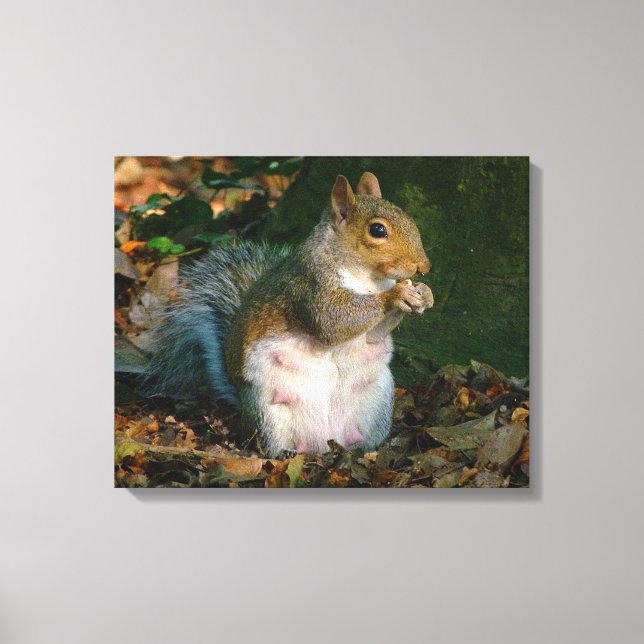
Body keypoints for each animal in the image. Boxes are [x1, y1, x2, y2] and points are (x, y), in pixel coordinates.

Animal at [143, 172, 434, 457]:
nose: (424, 267)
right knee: (268, 445)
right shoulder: (310, 286)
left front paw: (424, 294)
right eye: (377, 230)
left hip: (377, 401)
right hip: (268, 411)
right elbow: (332, 322)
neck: (367, 279)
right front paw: (396, 295)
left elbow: (374, 335)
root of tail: (324, 441)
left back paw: (363, 450)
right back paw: (285, 453)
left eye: (408, 217)